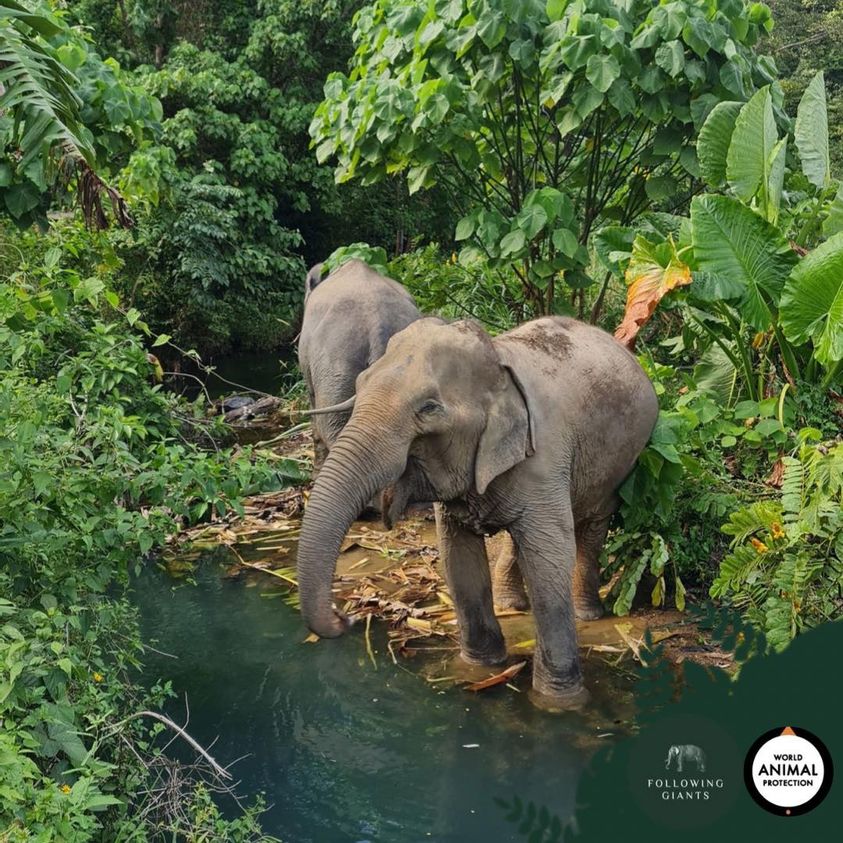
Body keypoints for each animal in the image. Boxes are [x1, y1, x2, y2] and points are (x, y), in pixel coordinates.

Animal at [296, 315, 658, 708]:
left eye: (428, 408)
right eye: (360, 384)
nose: (344, 617)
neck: (497, 362)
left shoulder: (545, 458)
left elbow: (548, 559)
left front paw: (560, 703)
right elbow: (459, 558)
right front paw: (480, 668)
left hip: (622, 463)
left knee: (593, 524)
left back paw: (586, 613)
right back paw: (511, 604)